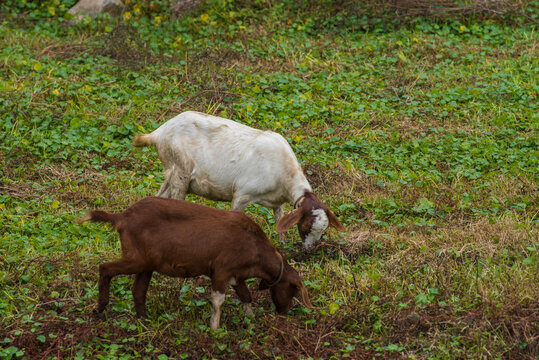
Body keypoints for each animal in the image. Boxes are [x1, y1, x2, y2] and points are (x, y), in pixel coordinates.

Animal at [78, 197, 314, 330]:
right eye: (293, 290)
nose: (283, 312)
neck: (256, 249)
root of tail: (121, 217)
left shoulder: (237, 275)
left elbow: (245, 296)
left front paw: (251, 319)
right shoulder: (221, 271)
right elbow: (218, 300)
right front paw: (215, 329)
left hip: (146, 264)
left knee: (138, 290)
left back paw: (144, 320)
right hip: (136, 258)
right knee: (105, 268)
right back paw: (99, 308)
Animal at [134, 111, 346, 249]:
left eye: (324, 230)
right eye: (307, 225)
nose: (309, 250)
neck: (284, 173)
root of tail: (159, 132)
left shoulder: (277, 201)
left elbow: (280, 221)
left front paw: (283, 245)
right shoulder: (242, 195)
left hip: (172, 172)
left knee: (160, 196)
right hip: (180, 171)